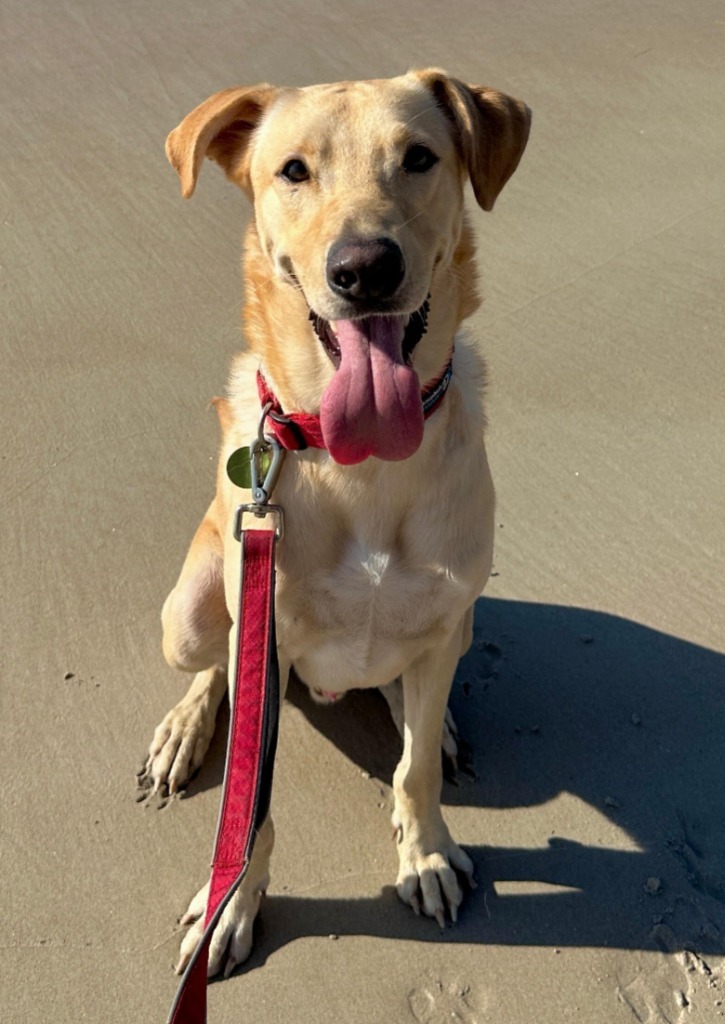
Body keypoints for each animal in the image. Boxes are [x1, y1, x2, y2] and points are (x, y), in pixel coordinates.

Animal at [139, 68, 528, 978]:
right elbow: (249, 802)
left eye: (419, 158)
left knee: (413, 688)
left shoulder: (445, 614)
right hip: (193, 609)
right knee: (211, 665)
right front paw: (232, 903)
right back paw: (182, 731)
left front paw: (424, 852)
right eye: (292, 171)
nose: (364, 267)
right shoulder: (264, 634)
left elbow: (413, 773)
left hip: (455, 622)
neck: (365, 464)